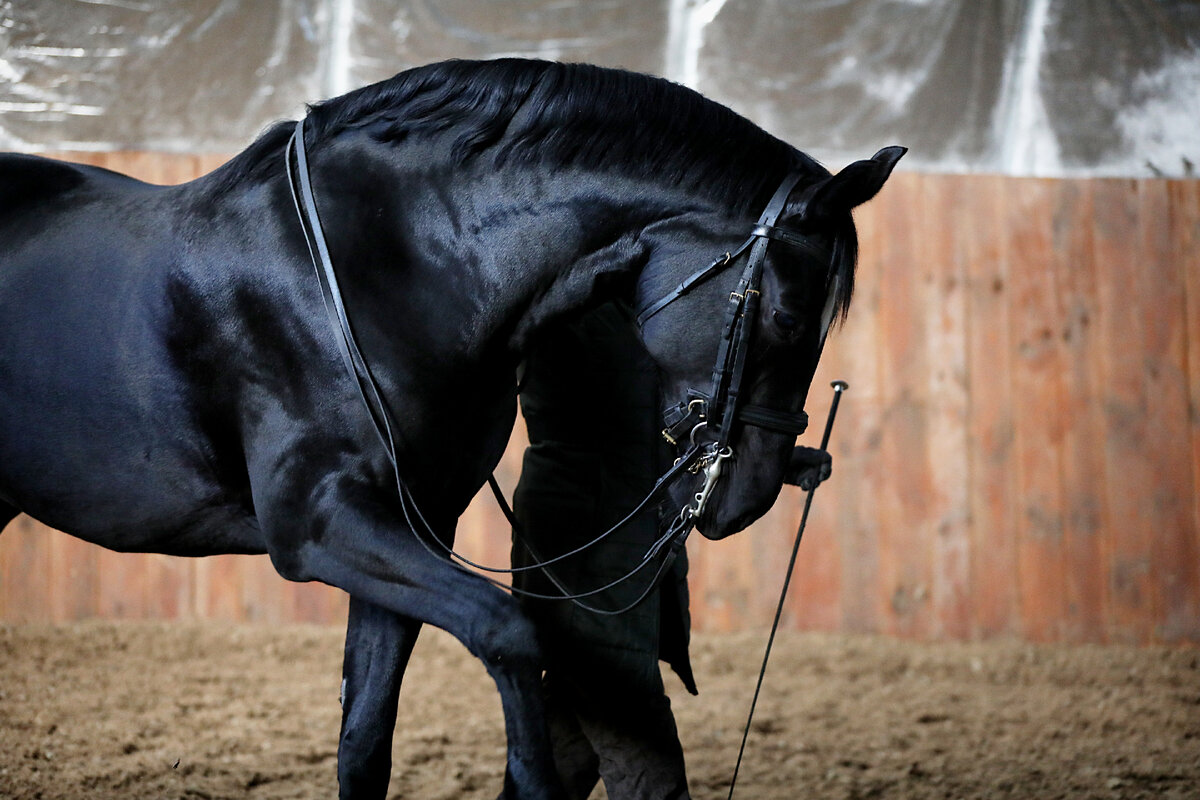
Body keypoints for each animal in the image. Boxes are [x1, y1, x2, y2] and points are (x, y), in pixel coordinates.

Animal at [0, 59, 902, 796]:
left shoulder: (412, 525)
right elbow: (508, 630)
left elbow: (365, 745)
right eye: (788, 317)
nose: (750, 494)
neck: (380, 271)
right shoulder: (317, 524)